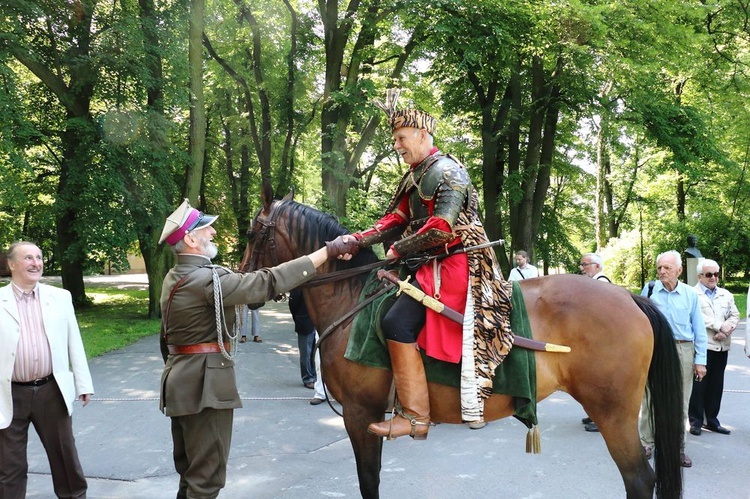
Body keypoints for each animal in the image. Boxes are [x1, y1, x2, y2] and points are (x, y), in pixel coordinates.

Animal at [242, 188, 688, 499]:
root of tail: (630, 297)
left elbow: (369, 481)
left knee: (639, 478)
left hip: (613, 414)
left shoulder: (359, 414)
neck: (350, 299)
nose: (245, 280)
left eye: (251, 232)